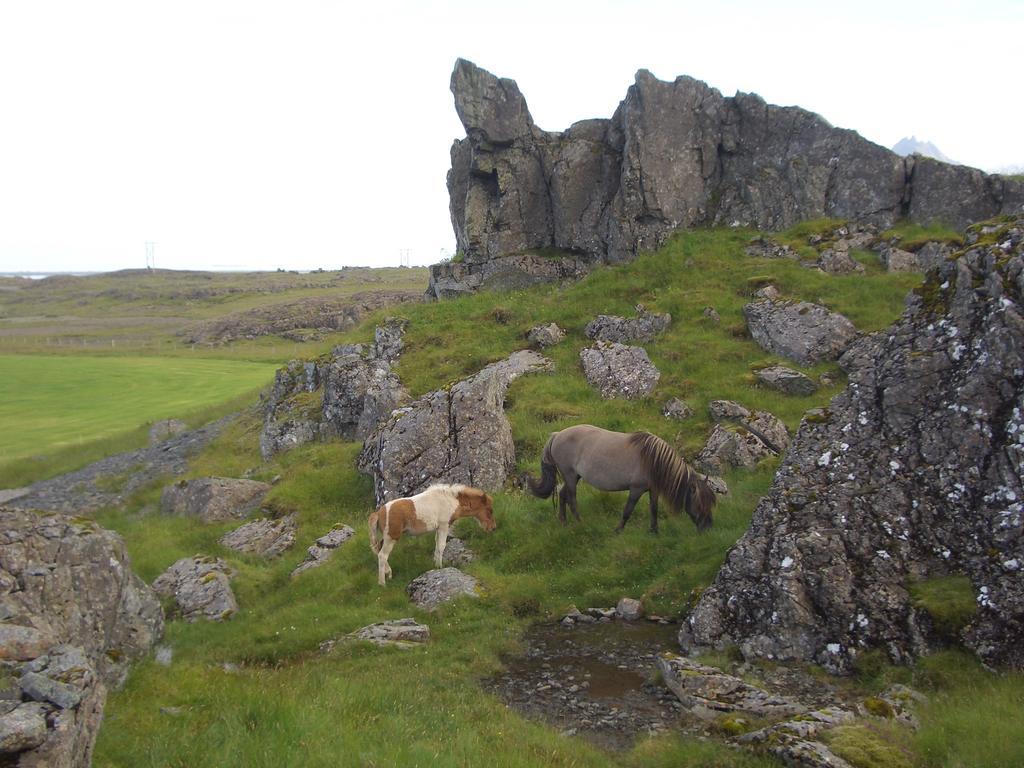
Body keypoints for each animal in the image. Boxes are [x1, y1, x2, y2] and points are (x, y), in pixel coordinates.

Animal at [528, 428, 712, 536]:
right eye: (700, 504)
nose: (708, 527)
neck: (653, 459)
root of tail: (557, 435)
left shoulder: (653, 490)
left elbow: (654, 509)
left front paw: (654, 531)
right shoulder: (636, 489)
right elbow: (627, 511)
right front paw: (618, 530)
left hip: (574, 476)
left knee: (562, 494)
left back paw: (564, 522)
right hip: (570, 475)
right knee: (572, 499)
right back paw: (581, 523)